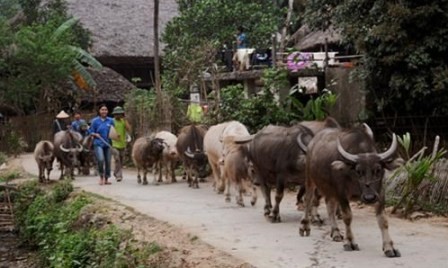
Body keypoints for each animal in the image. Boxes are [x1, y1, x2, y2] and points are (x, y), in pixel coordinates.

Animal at [300, 123, 400, 258]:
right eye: (358, 171)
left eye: (378, 170)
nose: (369, 198)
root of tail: (311, 144)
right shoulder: (341, 193)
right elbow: (347, 216)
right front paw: (350, 242)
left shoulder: (379, 194)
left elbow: (383, 220)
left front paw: (389, 247)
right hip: (310, 178)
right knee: (308, 199)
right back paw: (305, 226)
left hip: (329, 189)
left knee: (330, 206)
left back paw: (336, 233)